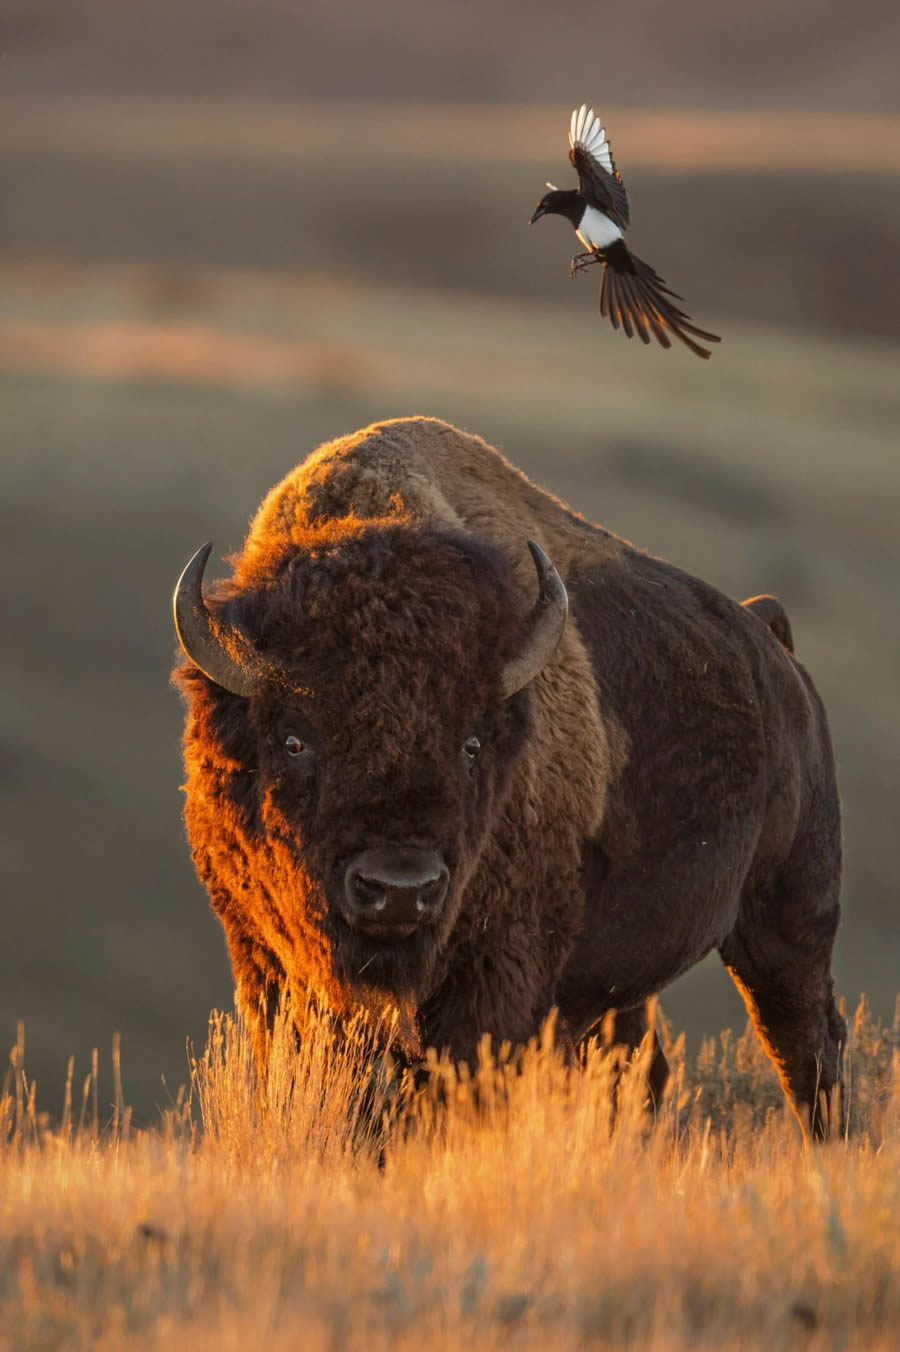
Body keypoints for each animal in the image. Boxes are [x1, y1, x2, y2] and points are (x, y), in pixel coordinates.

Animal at [172, 416, 843, 1135]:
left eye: (471, 742)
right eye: (294, 740)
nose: (400, 890)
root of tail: (774, 645)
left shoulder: (496, 978)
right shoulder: (267, 963)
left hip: (788, 922)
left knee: (807, 1048)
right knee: (644, 1066)